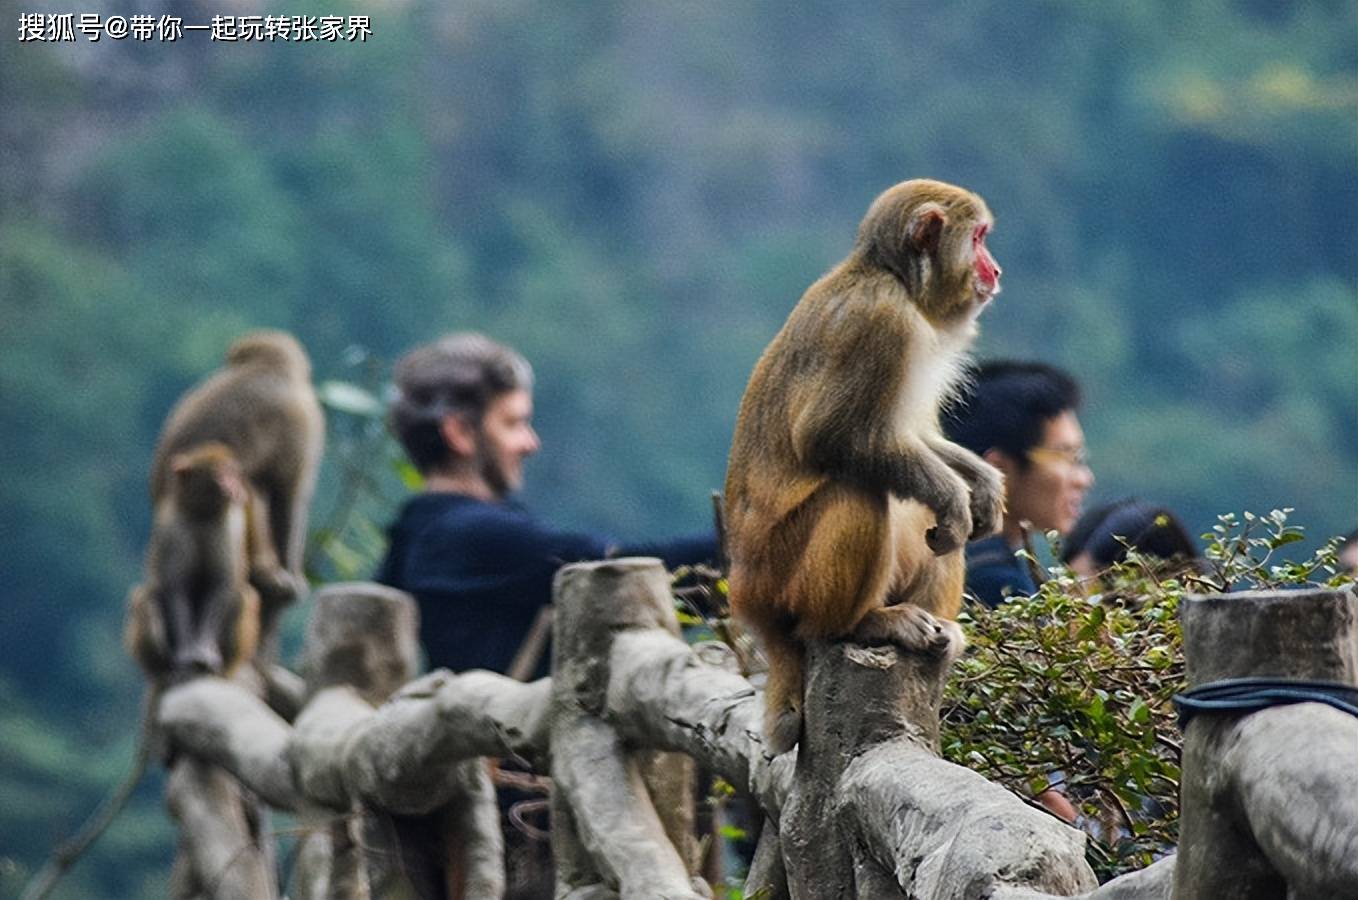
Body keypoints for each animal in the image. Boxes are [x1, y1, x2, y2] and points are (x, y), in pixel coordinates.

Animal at [128, 442, 263, 676]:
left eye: (233, 473)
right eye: (221, 474)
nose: (236, 487)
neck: (202, 513)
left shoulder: (230, 527)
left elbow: (221, 585)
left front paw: (204, 650)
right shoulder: (173, 530)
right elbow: (177, 588)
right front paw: (187, 653)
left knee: (243, 597)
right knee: (146, 597)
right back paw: (164, 667)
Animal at [722, 176, 1010, 754]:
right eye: (978, 239)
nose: (995, 270)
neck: (894, 280)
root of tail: (747, 593)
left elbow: (915, 437)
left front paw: (983, 485)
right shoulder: (881, 324)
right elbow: (834, 437)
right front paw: (955, 497)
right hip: (783, 576)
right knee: (859, 491)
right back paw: (857, 626)